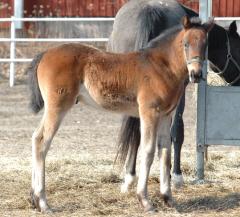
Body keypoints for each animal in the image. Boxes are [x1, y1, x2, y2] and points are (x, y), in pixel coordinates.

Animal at [28, 16, 214, 212]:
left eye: (205, 44)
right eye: (186, 44)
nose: (196, 74)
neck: (162, 67)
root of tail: (45, 54)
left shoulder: (166, 115)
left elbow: (165, 152)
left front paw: (168, 198)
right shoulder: (149, 112)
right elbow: (148, 151)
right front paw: (145, 200)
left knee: (35, 138)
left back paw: (34, 199)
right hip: (57, 107)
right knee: (42, 141)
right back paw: (43, 202)